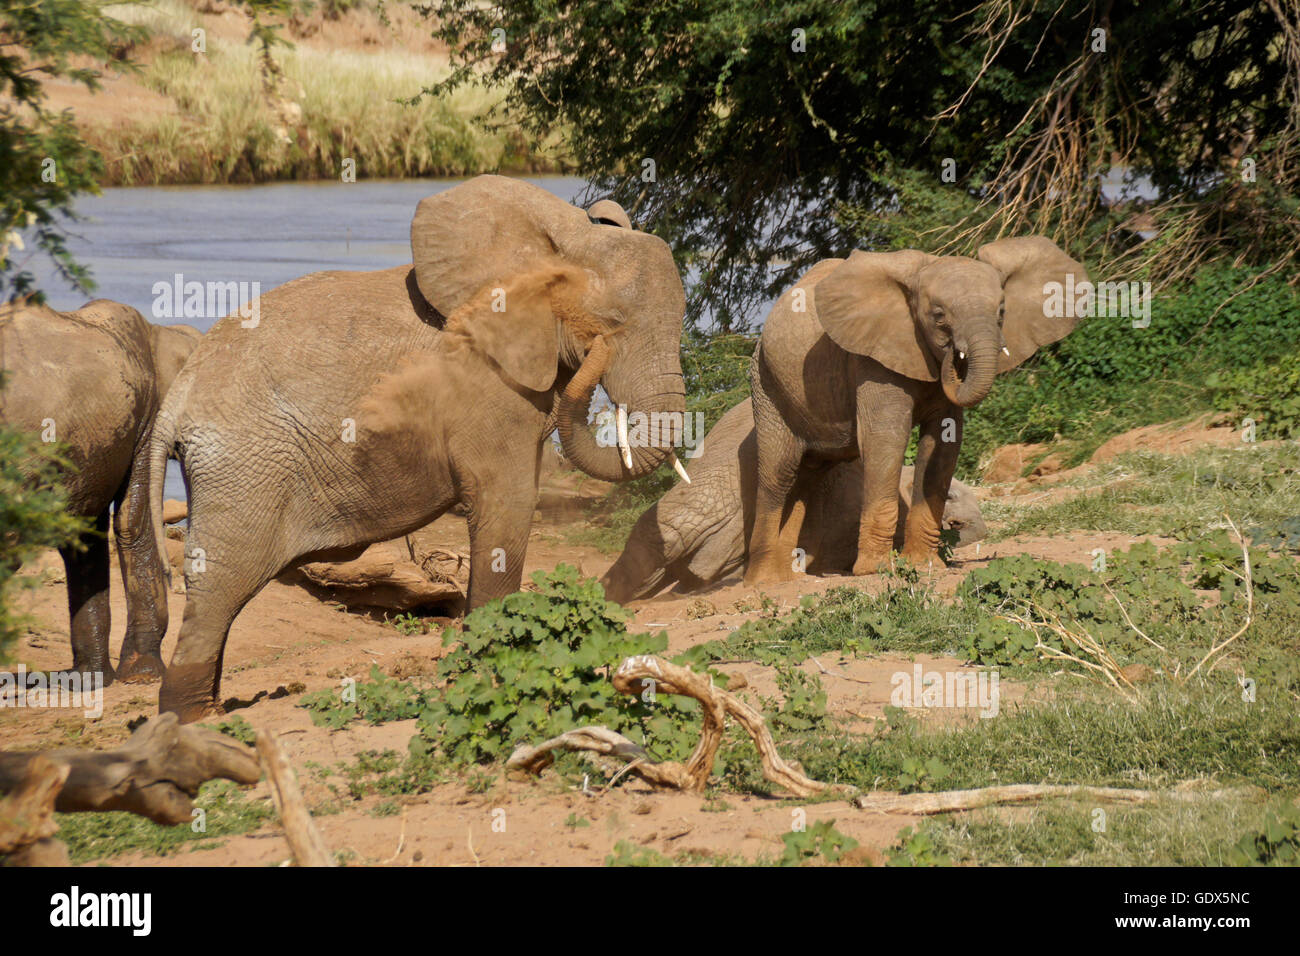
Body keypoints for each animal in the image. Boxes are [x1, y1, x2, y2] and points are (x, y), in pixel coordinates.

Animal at [0, 303, 201, 685]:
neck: (162, 333)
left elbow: (83, 537)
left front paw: (88, 680)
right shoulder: (147, 415)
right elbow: (132, 521)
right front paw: (143, 676)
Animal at [148, 175, 690, 721]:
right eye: (612, 323)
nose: (596, 354)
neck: (563, 239)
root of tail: (177, 398)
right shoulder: (486, 386)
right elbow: (507, 506)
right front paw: (493, 664)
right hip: (243, 469)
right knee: (221, 588)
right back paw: (192, 719)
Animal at [745, 237, 1085, 584]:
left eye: (1002, 311)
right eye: (938, 316)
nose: (953, 358)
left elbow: (944, 442)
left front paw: (924, 565)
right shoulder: (872, 357)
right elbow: (887, 439)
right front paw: (876, 570)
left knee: (808, 479)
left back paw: (790, 579)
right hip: (766, 384)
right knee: (779, 475)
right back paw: (763, 582)